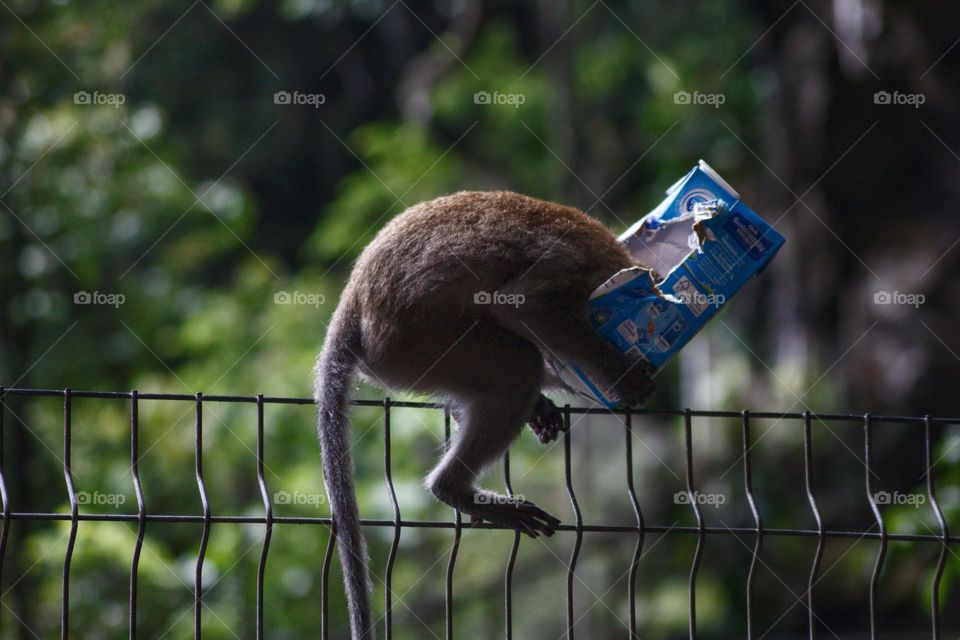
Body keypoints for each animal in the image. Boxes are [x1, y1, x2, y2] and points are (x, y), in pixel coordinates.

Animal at [314, 191, 652, 640]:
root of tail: (352, 304)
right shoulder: (570, 264)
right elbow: (527, 308)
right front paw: (622, 375)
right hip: (413, 342)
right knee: (518, 365)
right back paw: (453, 487)